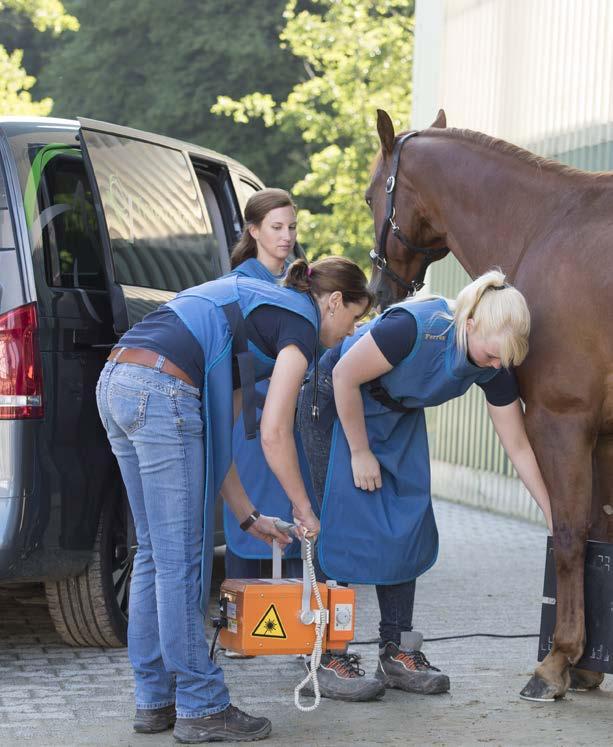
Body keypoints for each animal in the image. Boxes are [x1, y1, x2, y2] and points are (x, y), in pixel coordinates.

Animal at [366, 109, 612, 700]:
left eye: (369, 197)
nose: (379, 291)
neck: (546, 225)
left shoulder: (561, 422)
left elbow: (569, 533)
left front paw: (557, 660)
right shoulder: (605, 435)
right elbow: (599, 530)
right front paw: (588, 662)